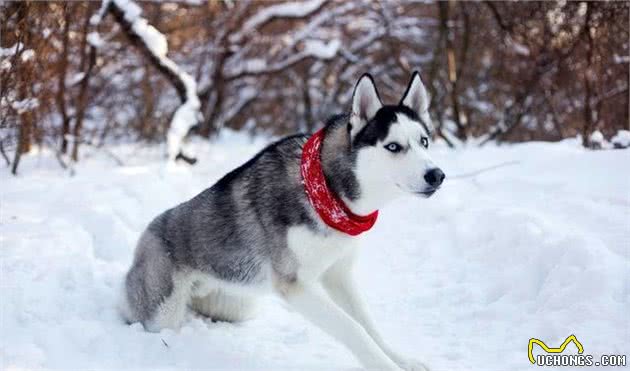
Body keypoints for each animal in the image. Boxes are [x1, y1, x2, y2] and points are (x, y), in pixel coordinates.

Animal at [122, 72, 444, 370]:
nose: (437, 175)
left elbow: (368, 324)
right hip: (161, 312)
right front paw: (386, 366)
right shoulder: (296, 286)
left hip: (241, 303)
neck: (328, 192)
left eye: (424, 142)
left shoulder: (338, 275)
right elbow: (353, 329)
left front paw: (401, 359)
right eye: (393, 147)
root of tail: (145, 236)